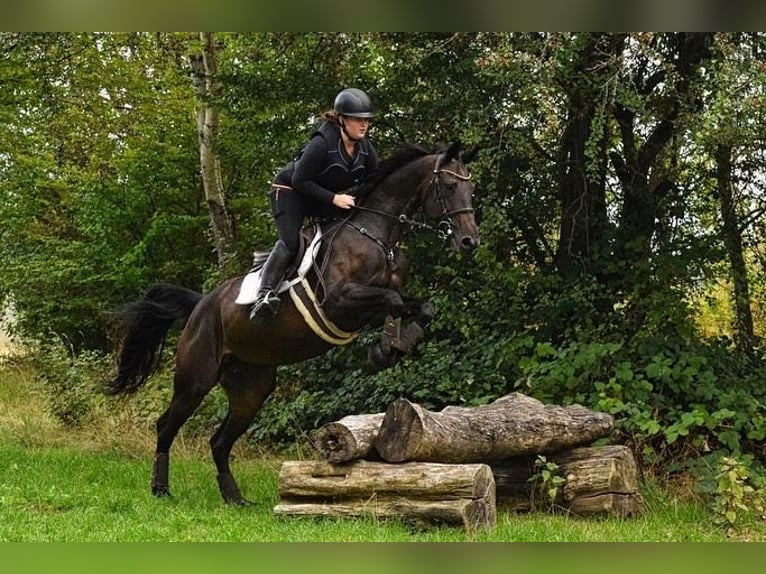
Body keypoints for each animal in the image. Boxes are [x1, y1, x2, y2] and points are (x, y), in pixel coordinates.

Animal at [106, 142, 480, 506]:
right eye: (449, 187)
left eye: (470, 187)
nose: (469, 242)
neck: (377, 235)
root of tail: (201, 305)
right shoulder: (339, 301)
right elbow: (391, 300)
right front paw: (384, 351)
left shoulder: (378, 302)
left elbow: (418, 306)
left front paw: (391, 347)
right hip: (195, 379)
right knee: (166, 426)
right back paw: (161, 490)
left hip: (251, 387)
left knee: (219, 441)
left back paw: (234, 498)